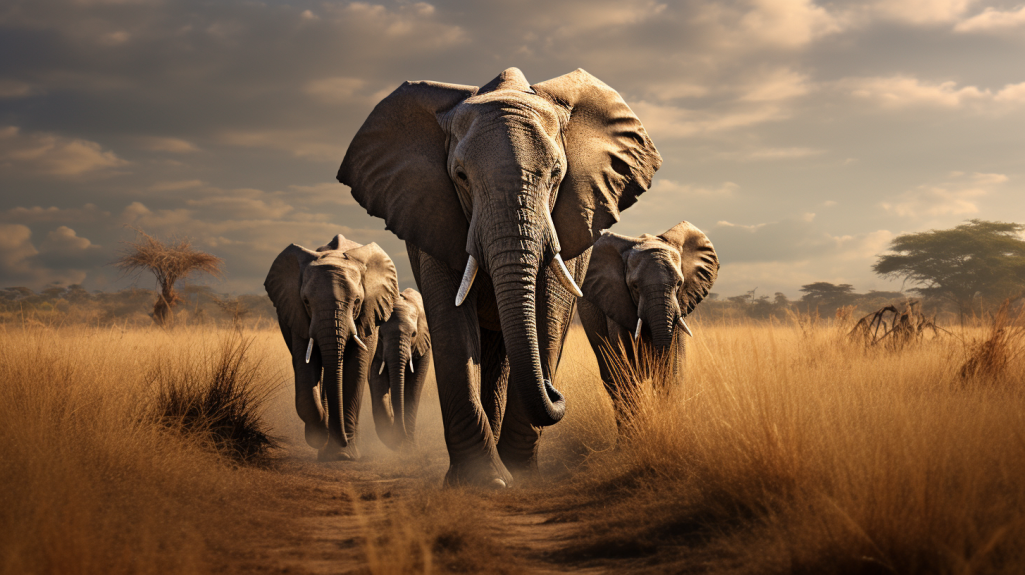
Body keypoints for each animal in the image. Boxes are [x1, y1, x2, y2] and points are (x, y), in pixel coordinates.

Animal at [264, 234, 399, 461]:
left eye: (357, 301)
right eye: (306, 301)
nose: (342, 440)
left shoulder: (368, 314)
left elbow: (356, 368)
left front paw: (345, 455)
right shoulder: (298, 314)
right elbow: (305, 368)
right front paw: (320, 436)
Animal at [368, 288, 431, 449]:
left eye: (414, 334)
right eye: (380, 335)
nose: (401, 436)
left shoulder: (424, 345)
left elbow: (413, 387)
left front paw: (409, 445)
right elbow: (378, 382)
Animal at [577, 221, 718, 424]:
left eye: (679, 284)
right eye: (635, 286)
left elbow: (673, 371)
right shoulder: (615, 300)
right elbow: (625, 373)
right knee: (612, 381)